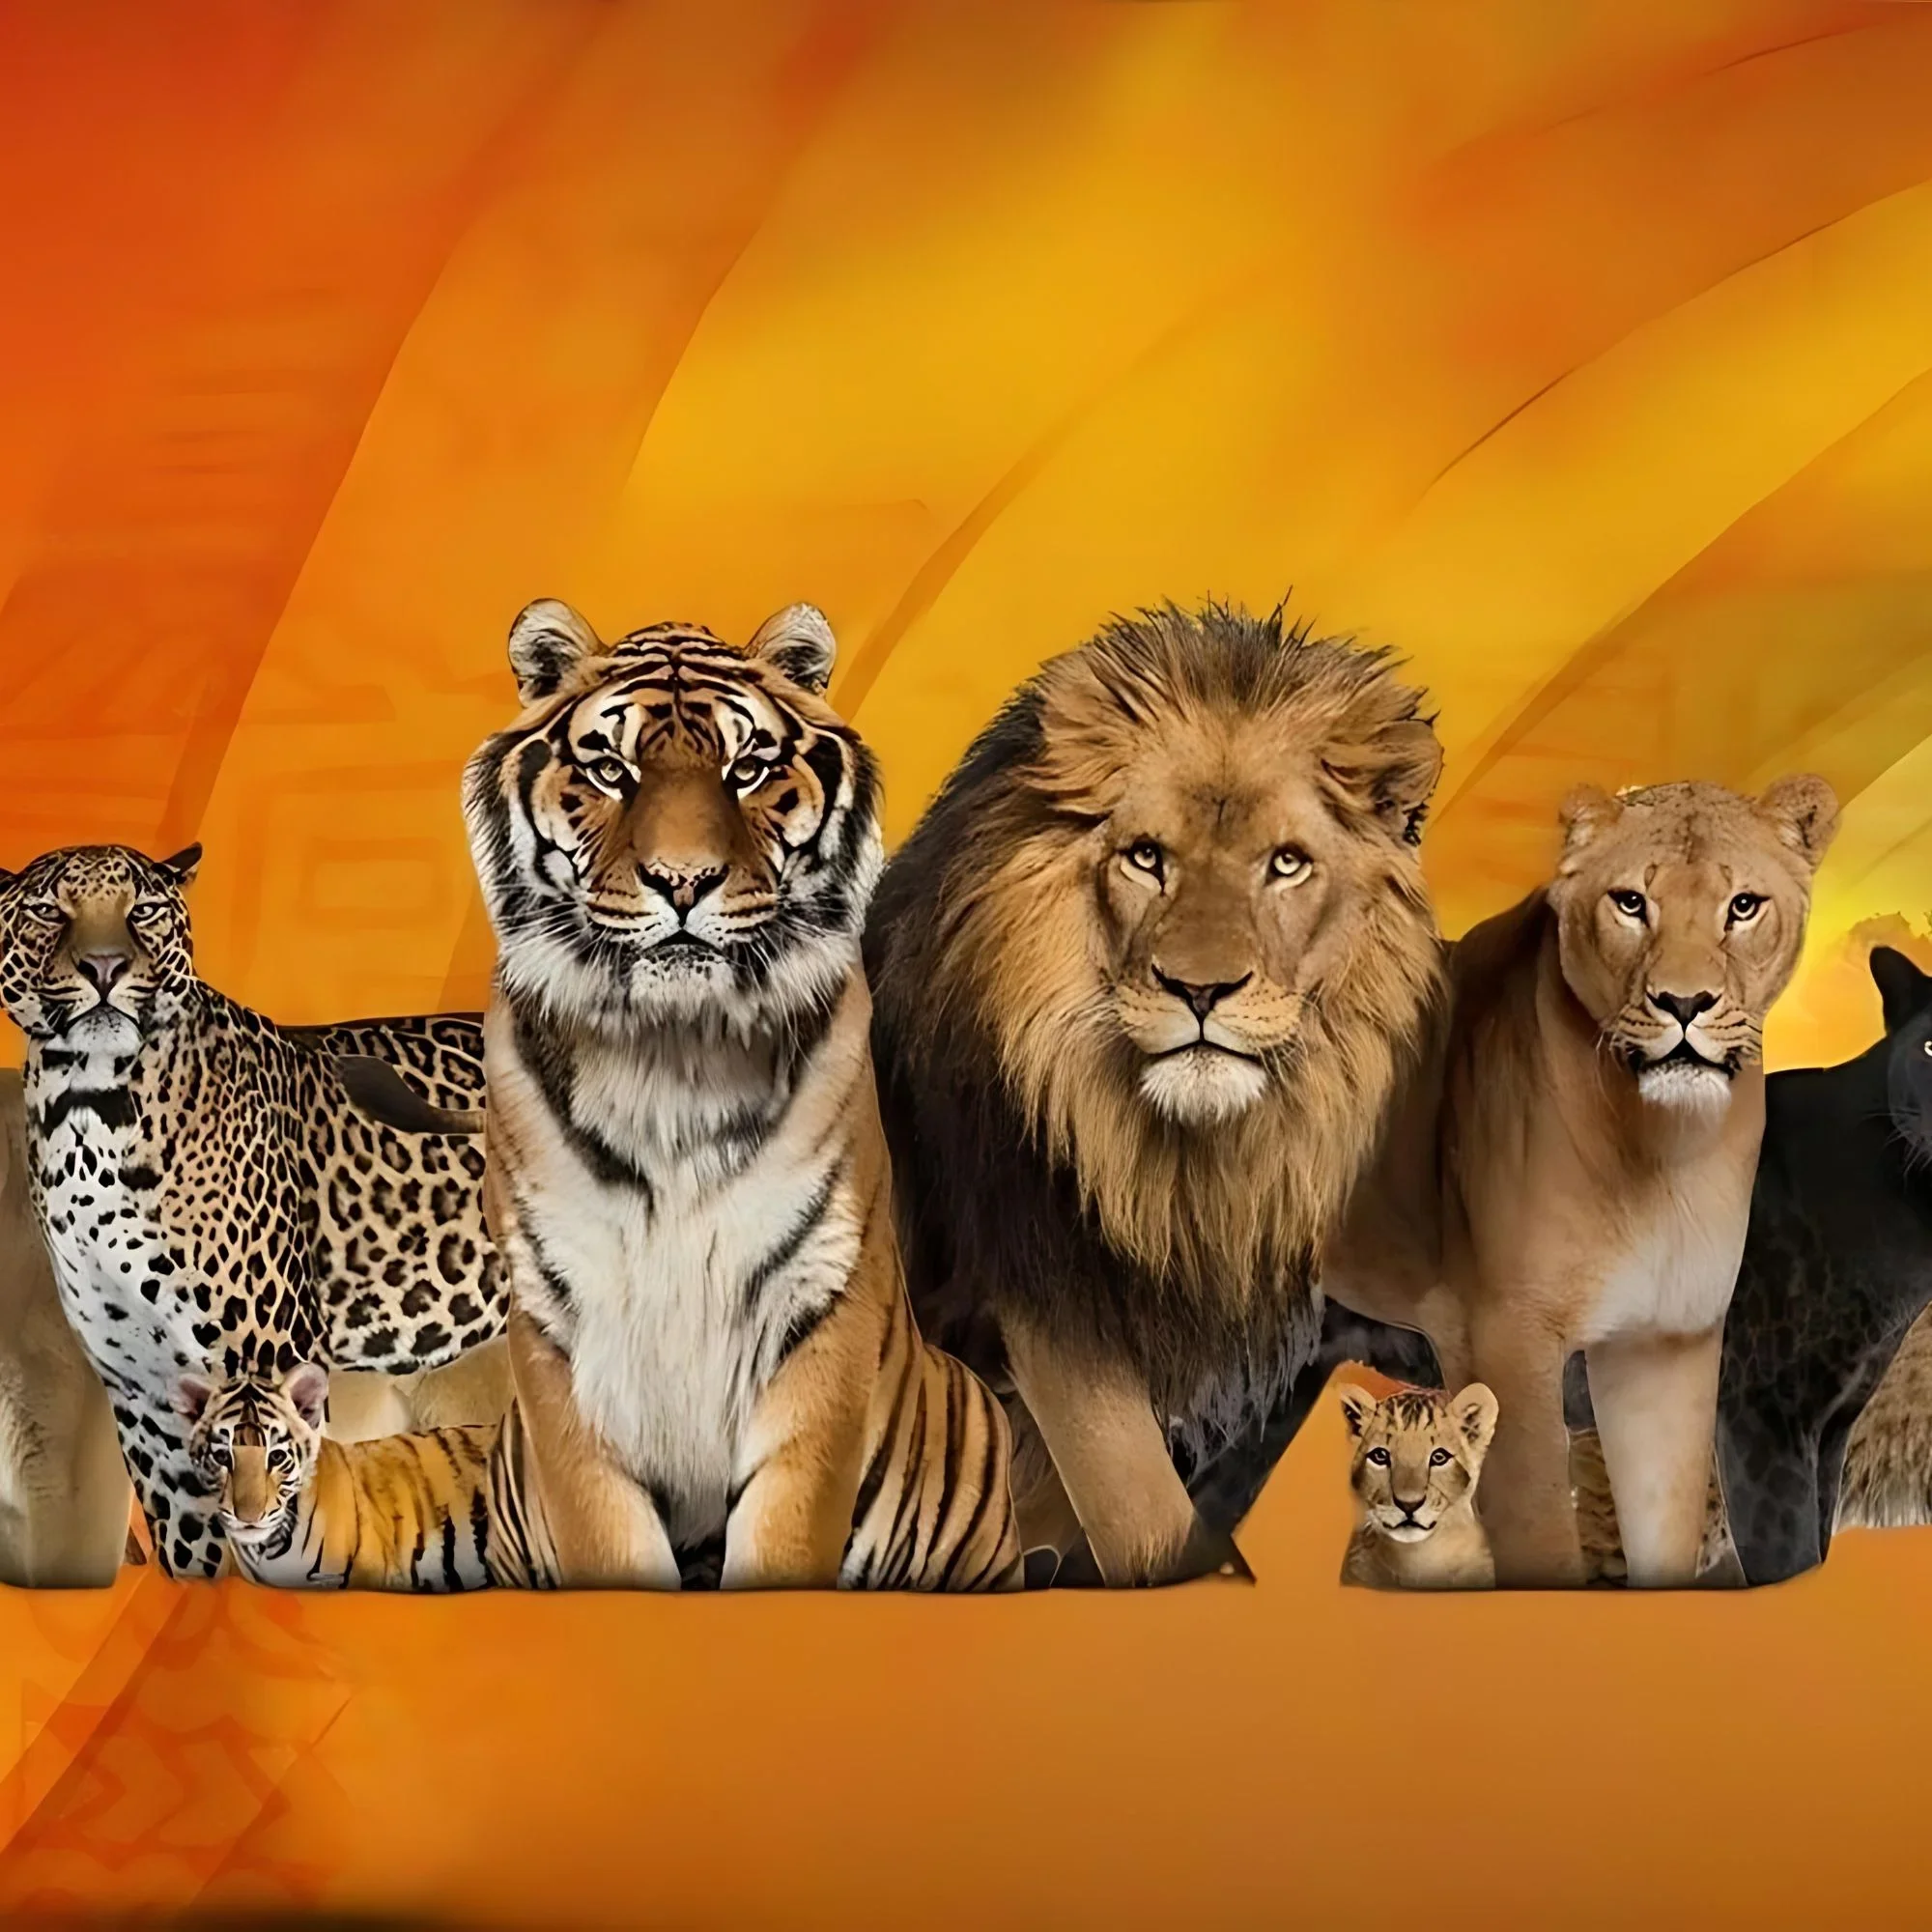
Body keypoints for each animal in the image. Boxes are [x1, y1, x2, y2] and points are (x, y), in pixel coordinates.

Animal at [865, 601, 1447, 1586]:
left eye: (1286, 864)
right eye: (1146, 858)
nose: (1199, 990)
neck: (1185, 1165)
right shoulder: (1048, 1300)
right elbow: (1142, 1513)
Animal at [1324, 777, 1838, 1587]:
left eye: (1743, 905)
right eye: (1630, 903)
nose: (1683, 1004)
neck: (1662, 1150)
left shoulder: (1666, 1343)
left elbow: (1665, 1526)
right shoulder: (1504, 1337)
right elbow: (1540, 1540)